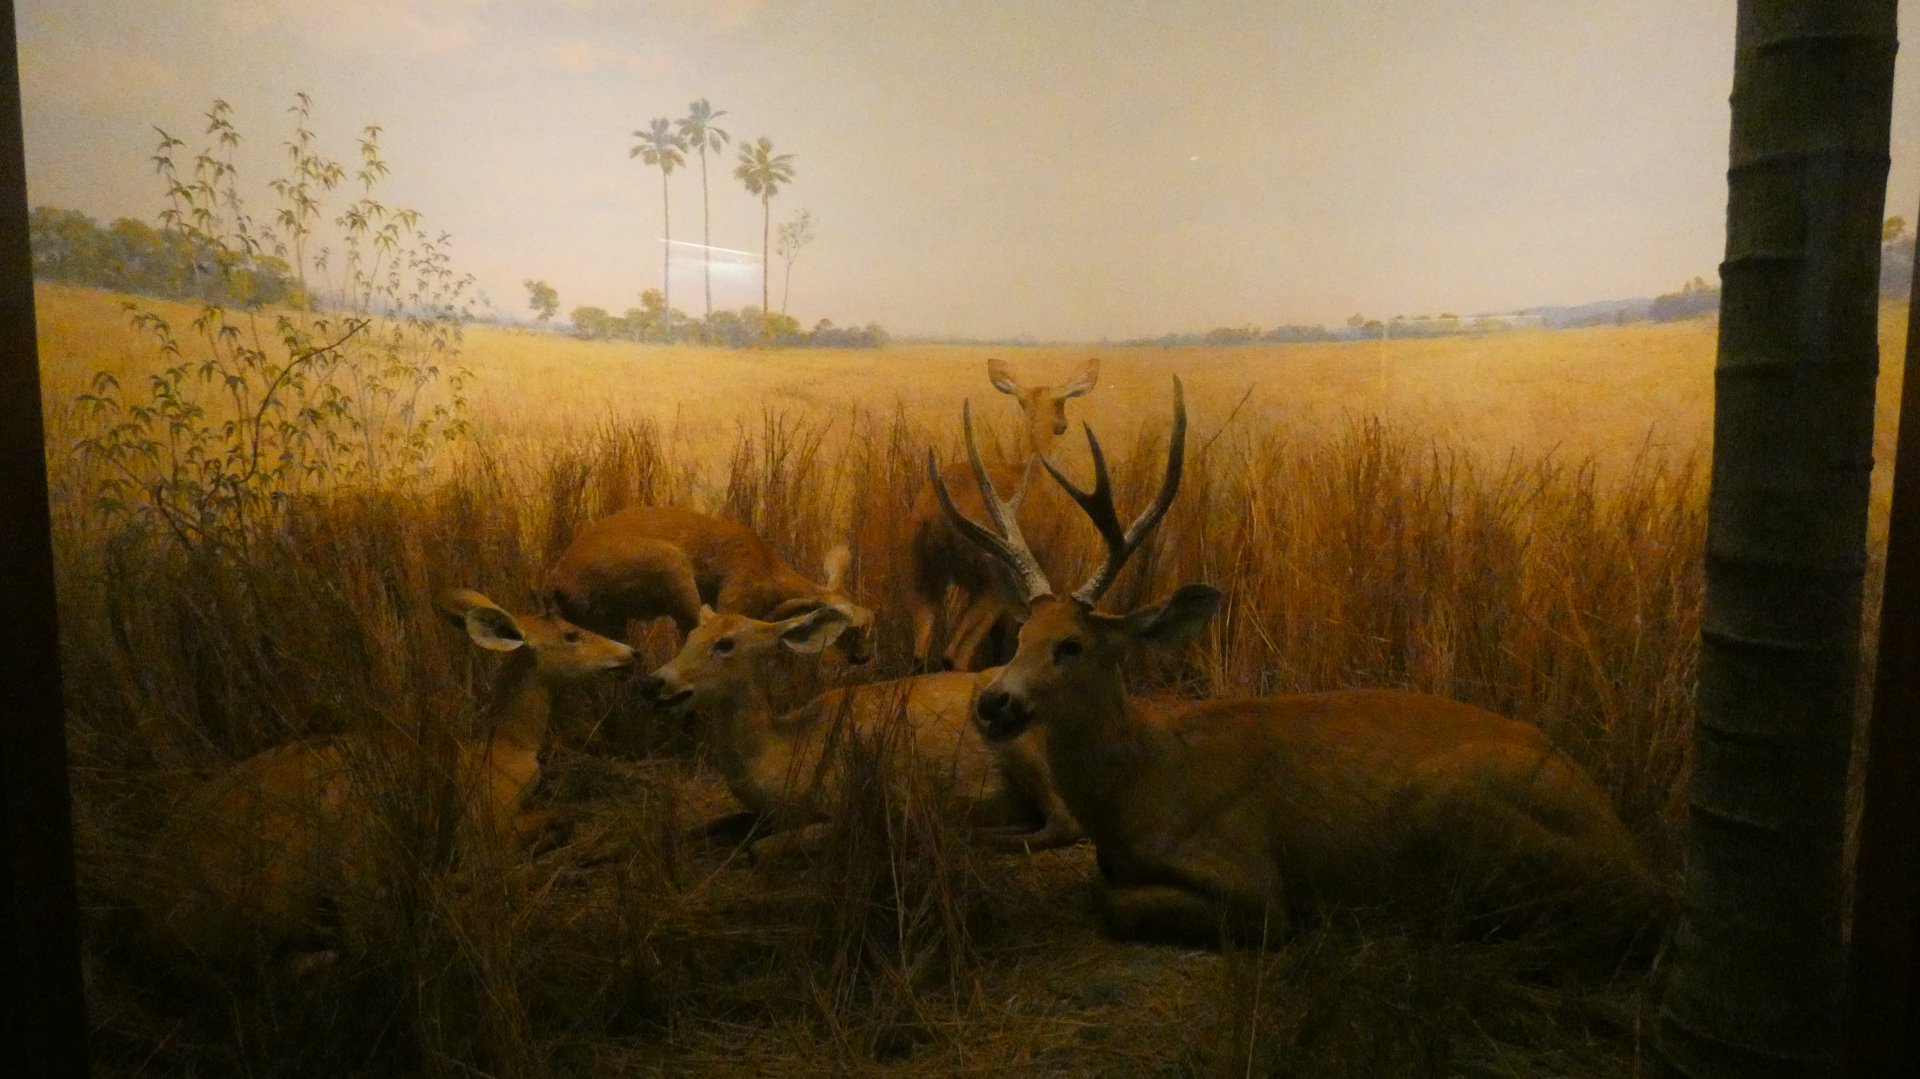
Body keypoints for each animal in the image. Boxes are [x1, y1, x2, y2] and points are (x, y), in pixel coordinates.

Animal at [547, 505, 874, 665]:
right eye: (852, 629)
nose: (863, 658)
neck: (769, 569)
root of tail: (557, 582)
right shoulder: (734, 599)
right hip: (674, 574)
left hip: (610, 619)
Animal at [635, 603, 1079, 856]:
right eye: (690, 635)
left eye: (725, 643)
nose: (655, 681)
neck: (783, 749)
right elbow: (708, 825)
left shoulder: (852, 806)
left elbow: (761, 848)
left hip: (1023, 745)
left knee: (1064, 823)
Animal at [906, 356, 1099, 672]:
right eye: (1061, 402)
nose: (1063, 424)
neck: (1035, 474)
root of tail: (935, 516)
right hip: (989, 587)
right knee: (954, 653)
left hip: (926, 576)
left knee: (920, 654)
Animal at [929, 377, 1668, 956]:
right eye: (1021, 634)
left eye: (1072, 645)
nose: (993, 702)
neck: (1143, 781)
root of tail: (1635, 860)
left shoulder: (1252, 881)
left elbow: (1112, 901)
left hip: (1456, 806)